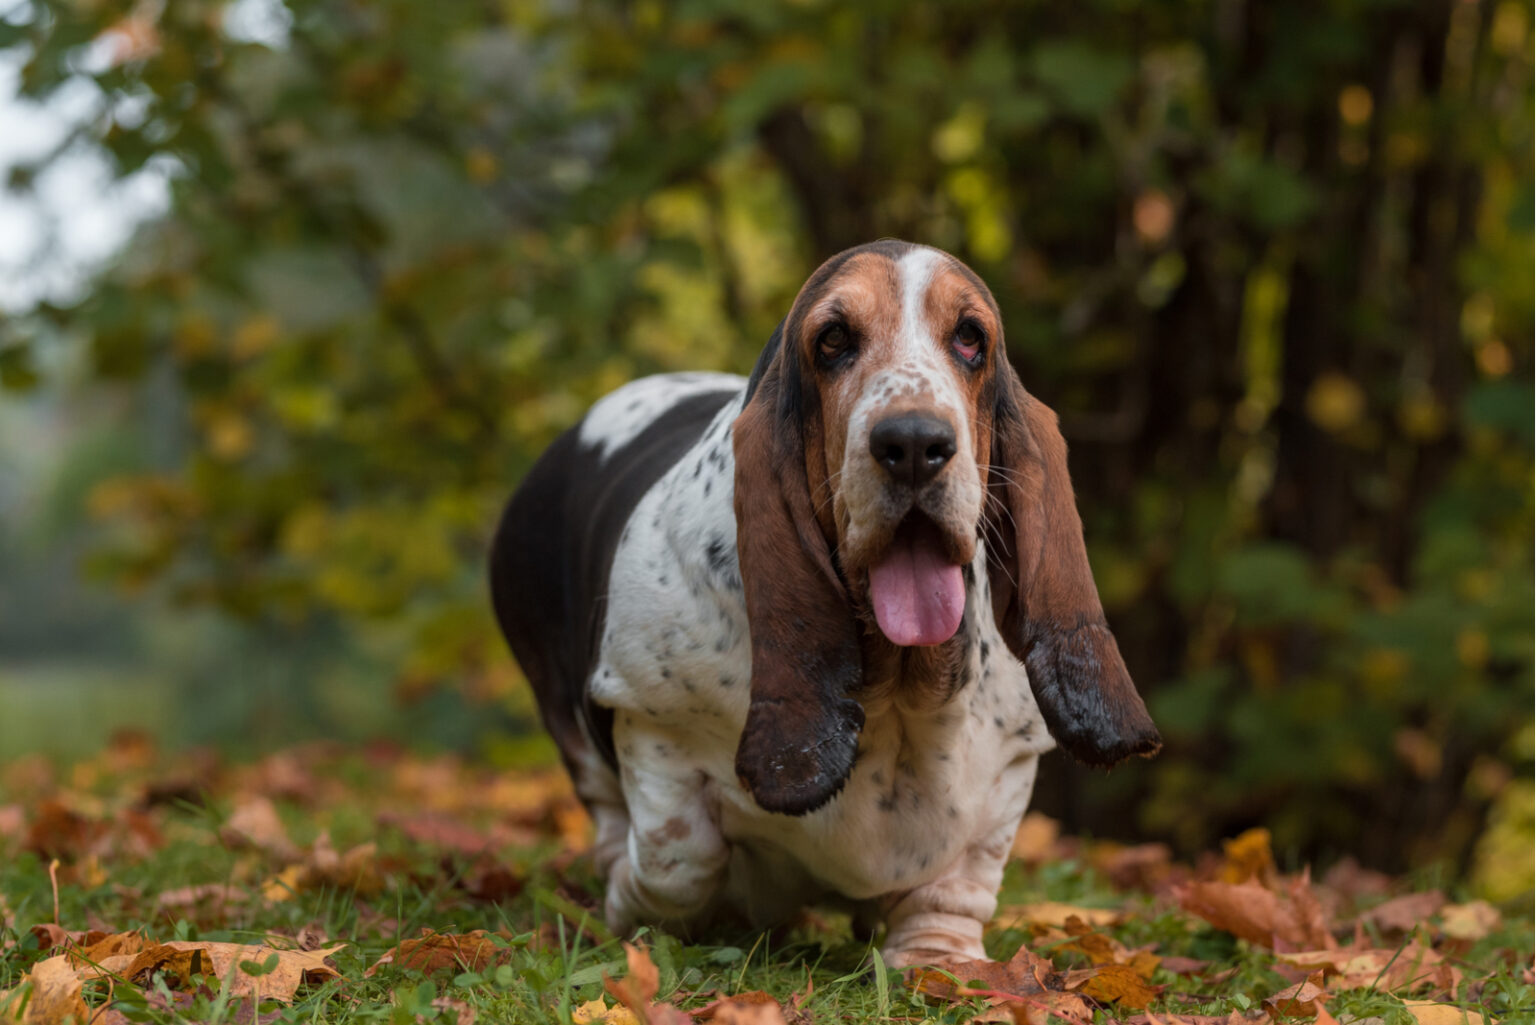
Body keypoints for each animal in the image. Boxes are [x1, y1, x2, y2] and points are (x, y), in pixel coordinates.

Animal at [485, 241, 1155, 971]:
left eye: (970, 338)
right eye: (832, 340)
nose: (914, 443)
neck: (895, 688)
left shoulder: (1009, 766)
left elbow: (960, 880)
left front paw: (937, 960)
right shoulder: (647, 718)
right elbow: (679, 855)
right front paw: (632, 903)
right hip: (564, 711)